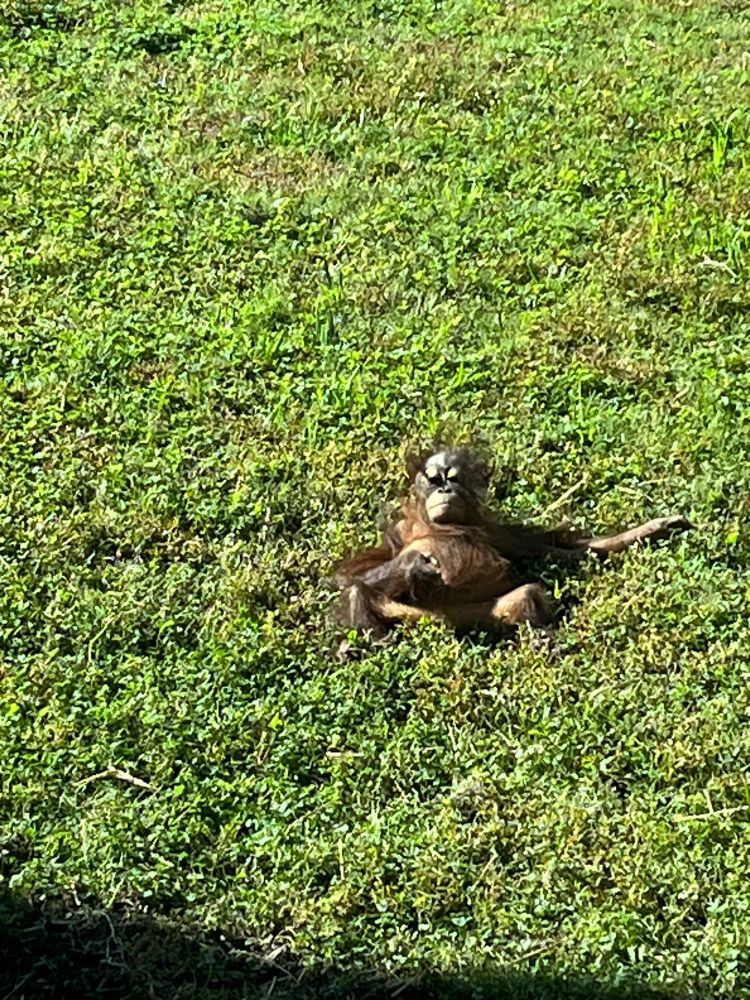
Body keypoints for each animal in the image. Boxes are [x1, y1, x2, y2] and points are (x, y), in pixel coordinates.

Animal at [333, 447, 693, 635]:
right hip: (413, 612)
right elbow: (347, 575)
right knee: (359, 591)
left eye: (452, 478)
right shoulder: (397, 533)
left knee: (526, 595)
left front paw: (658, 527)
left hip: (484, 611)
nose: (444, 489)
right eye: (434, 479)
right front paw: (415, 566)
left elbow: (568, 551)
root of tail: (454, 620)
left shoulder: (499, 532)